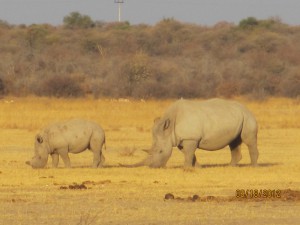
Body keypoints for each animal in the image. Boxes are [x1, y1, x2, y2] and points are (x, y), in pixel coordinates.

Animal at [122, 98, 258, 169]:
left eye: (160, 151)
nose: (152, 167)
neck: (169, 127)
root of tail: (247, 108)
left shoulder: (191, 138)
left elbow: (188, 153)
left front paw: (186, 169)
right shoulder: (181, 140)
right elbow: (189, 154)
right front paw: (197, 168)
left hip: (247, 117)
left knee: (248, 140)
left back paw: (253, 167)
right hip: (236, 117)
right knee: (234, 142)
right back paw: (230, 167)